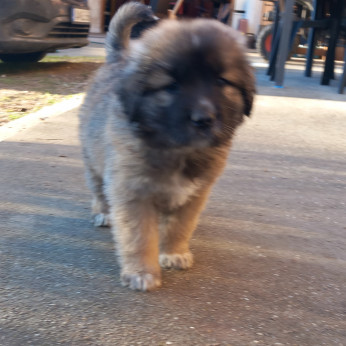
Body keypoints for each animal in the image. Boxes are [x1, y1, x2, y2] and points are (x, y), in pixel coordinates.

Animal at [79, 1, 255, 290]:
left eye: (220, 81)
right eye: (172, 86)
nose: (203, 119)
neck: (179, 150)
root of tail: (118, 59)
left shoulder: (195, 193)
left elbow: (180, 226)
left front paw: (174, 252)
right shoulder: (132, 192)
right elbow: (139, 237)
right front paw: (141, 272)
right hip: (92, 161)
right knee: (98, 190)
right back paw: (103, 213)